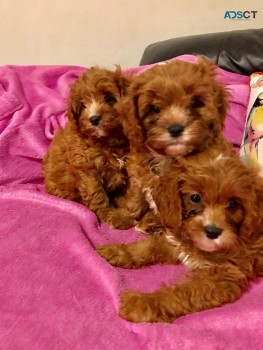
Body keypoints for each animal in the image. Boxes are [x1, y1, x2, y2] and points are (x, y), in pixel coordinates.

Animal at [44, 66, 133, 221]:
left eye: (108, 98)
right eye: (83, 105)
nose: (94, 119)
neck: (108, 140)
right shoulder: (87, 170)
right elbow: (97, 195)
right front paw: (109, 215)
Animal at [97, 154, 263, 324]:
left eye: (233, 204)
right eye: (195, 198)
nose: (212, 232)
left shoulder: (225, 275)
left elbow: (183, 293)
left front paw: (142, 303)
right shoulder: (177, 243)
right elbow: (149, 247)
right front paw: (116, 251)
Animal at [106, 58, 230, 231]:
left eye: (195, 103)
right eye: (154, 108)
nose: (176, 129)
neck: (167, 157)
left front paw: (150, 221)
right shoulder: (138, 173)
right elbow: (135, 197)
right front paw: (124, 216)